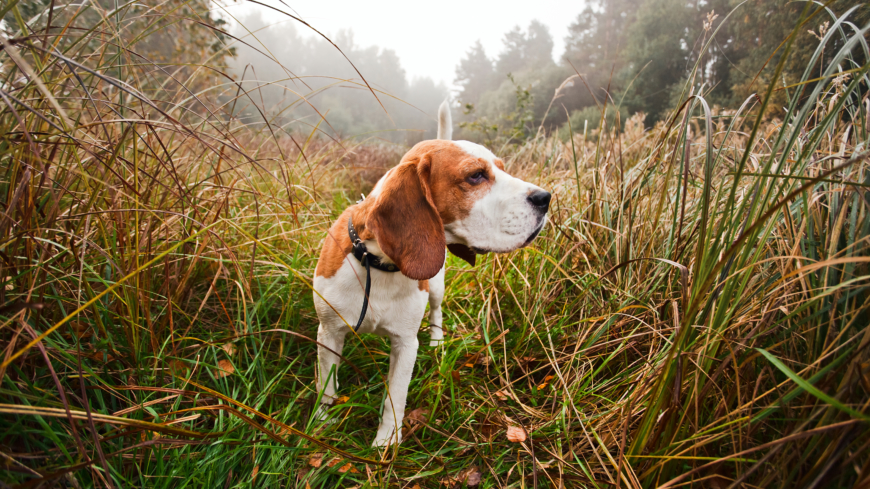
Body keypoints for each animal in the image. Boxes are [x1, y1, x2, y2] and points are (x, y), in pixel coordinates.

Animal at [314, 100, 552, 446]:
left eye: (502, 167)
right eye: (476, 175)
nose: (546, 198)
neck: (380, 264)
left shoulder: (405, 344)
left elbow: (396, 397)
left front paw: (385, 443)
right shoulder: (329, 332)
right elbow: (326, 385)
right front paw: (321, 422)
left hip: (436, 287)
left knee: (437, 311)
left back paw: (438, 342)